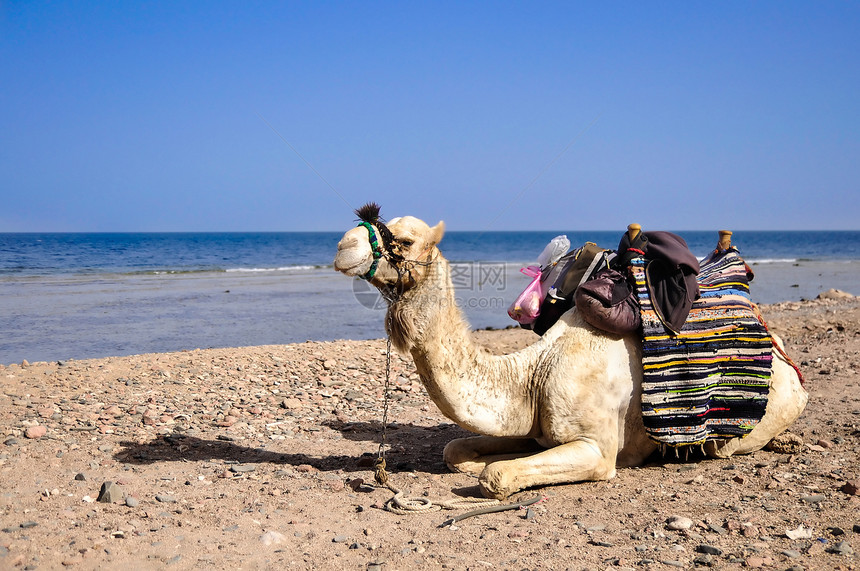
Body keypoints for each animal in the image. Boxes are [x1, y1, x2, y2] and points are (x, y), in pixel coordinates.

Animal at [330, 207, 808, 500]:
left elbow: (496, 476)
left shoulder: (597, 449)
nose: (343, 245)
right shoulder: (532, 425)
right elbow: (457, 452)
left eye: (405, 240)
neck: (533, 371)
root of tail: (783, 352)